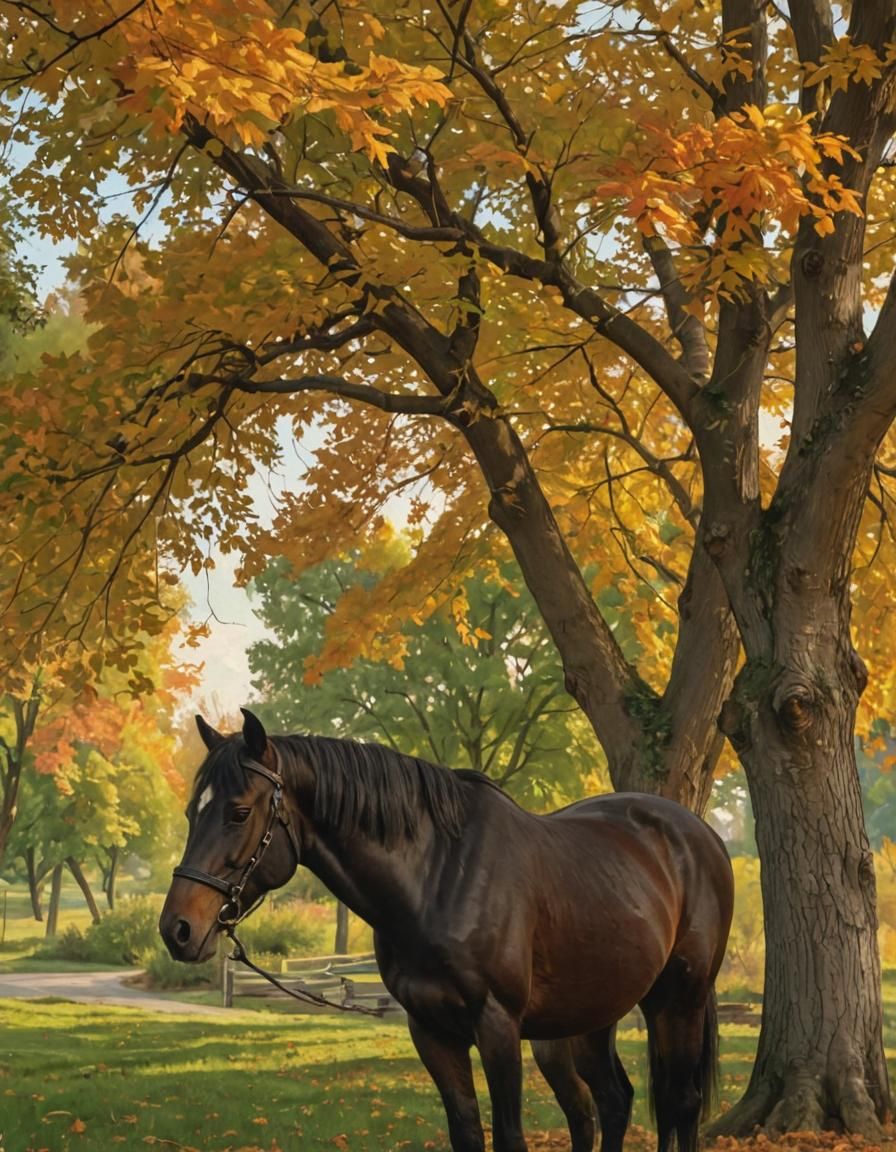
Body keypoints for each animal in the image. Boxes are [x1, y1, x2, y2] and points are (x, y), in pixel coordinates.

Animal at [160, 709, 734, 1152]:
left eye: (238, 812)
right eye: (190, 811)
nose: (177, 929)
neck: (438, 876)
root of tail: (700, 835)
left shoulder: (497, 1027)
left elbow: (509, 1137)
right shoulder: (431, 1031)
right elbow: (467, 1134)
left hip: (676, 1001)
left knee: (680, 1104)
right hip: (586, 1020)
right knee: (611, 1103)